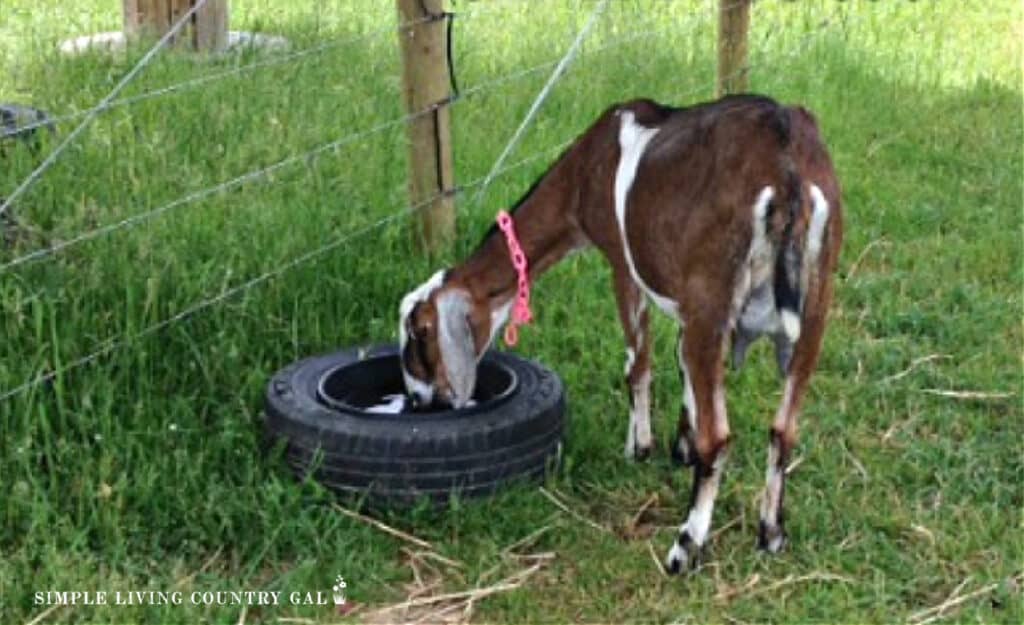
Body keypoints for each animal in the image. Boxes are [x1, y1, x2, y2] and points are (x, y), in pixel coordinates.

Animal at [395, 94, 843, 573]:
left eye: (420, 334)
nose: (419, 402)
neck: (582, 174)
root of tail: (784, 167)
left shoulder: (623, 266)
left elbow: (637, 364)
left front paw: (639, 448)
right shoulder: (680, 298)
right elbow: (681, 366)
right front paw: (680, 447)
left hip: (713, 298)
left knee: (720, 437)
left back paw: (686, 546)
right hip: (815, 305)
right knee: (783, 429)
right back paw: (771, 533)